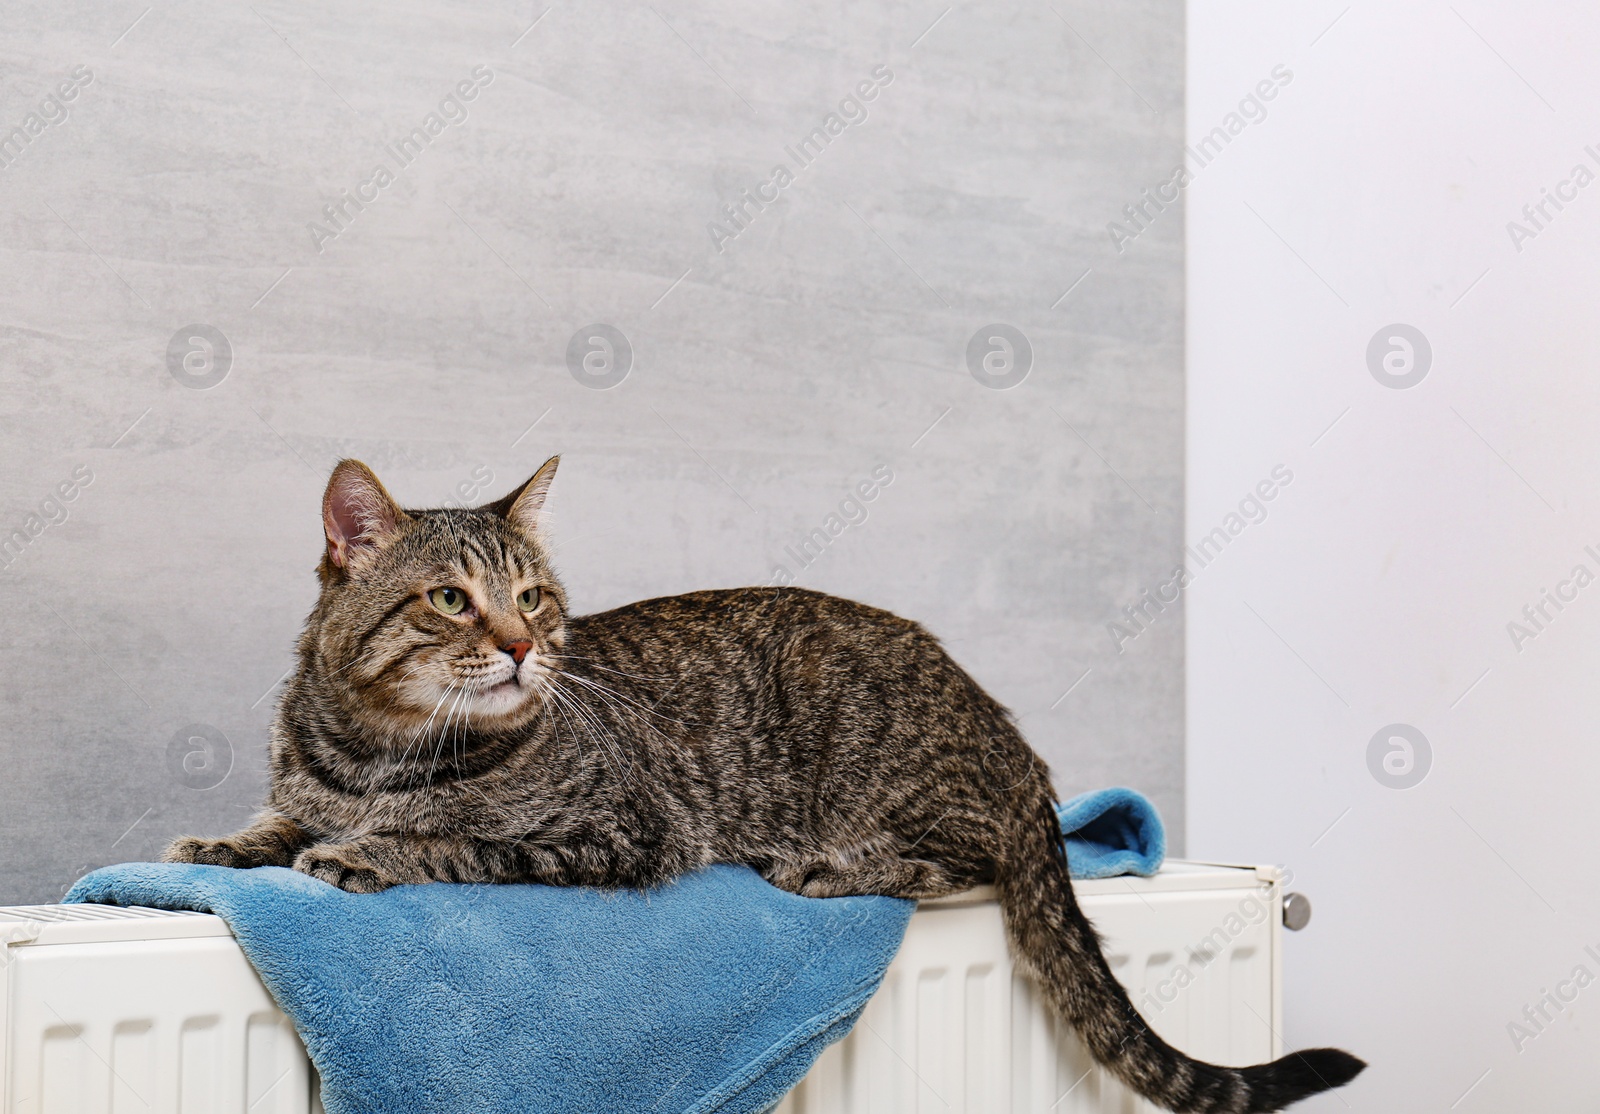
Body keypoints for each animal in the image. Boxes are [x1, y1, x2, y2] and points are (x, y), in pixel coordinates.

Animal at [165, 454, 1363, 1114]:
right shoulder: (308, 783)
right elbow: (275, 822)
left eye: (536, 598)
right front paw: (220, 844)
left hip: (882, 764)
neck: (379, 745)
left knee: (958, 863)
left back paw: (828, 866)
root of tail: (1011, 739)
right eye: (451, 600)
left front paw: (368, 849)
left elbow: (450, 841)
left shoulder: (618, 834)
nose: (523, 647)